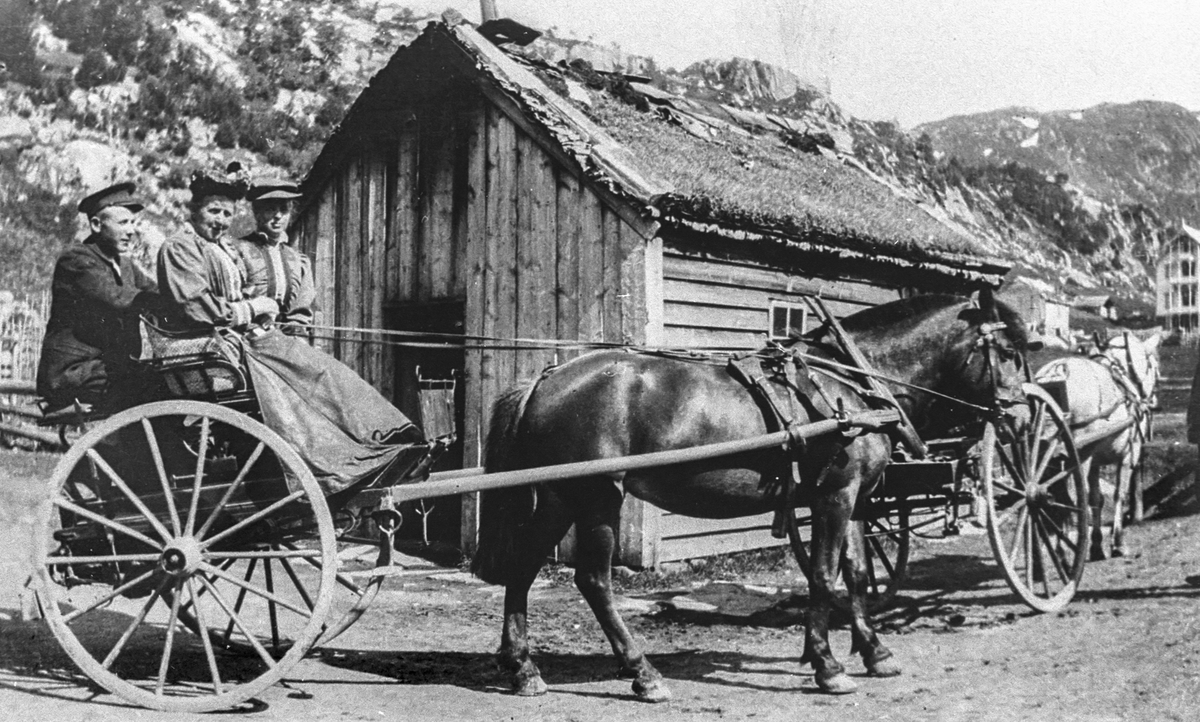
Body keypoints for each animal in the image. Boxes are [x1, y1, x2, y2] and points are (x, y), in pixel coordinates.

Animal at [468, 291, 1032, 695]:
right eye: (1007, 352)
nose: (1024, 418)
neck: (851, 385)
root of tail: (546, 379)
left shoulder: (854, 501)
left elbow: (856, 573)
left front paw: (874, 653)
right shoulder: (834, 497)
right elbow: (823, 576)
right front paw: (827, 666)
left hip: (560, 497)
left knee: (523, 568)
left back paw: (523, 669)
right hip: (596, 497)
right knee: (594, 581)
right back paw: (643, 673)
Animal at [1036, 328, 1156, 558]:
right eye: (1152, 366)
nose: (1150, 398)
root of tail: (1056, 370)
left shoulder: (1095, 461)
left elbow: (1096, 500)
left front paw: (1097, 545)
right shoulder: (1128, 455)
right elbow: (1119, 494)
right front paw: (1117, 542)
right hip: (1077, 455)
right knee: (1073, 500)